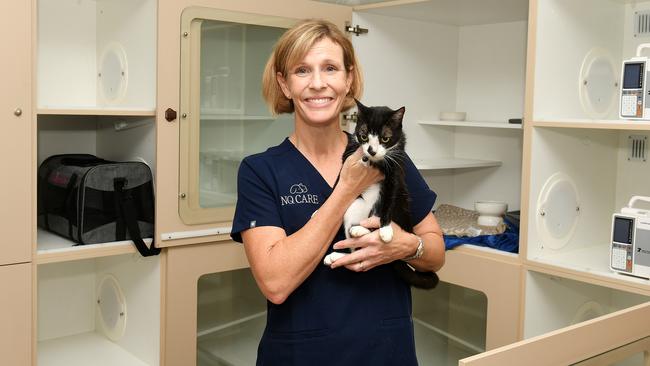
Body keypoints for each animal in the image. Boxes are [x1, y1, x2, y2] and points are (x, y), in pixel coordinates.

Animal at [324, 100, 440, 288]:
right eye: (364, 136)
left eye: (385, 138)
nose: (371, 150)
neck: (375, 162)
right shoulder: (348, 157)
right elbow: (338, 181)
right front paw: (318, 211)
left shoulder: (396, 172)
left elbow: (389, 199)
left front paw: (385, 230)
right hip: (355, 205)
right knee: (357, 250)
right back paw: (345, 245)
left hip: (400, 207)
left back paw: (361, 232)